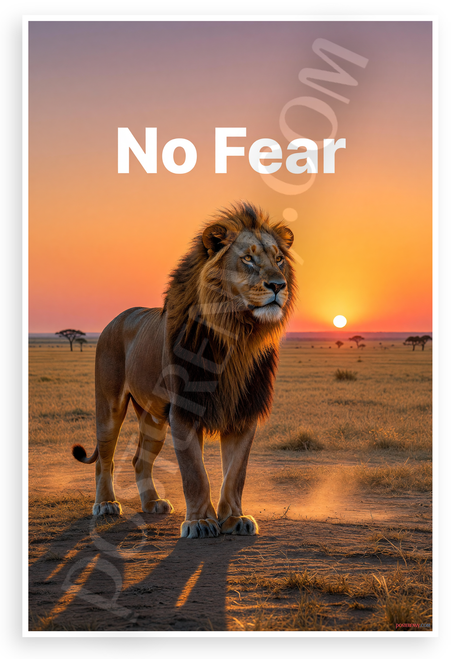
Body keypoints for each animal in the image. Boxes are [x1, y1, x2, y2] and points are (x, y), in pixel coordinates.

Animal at [72, 201, 296, 538]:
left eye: (279, 259)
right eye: (247, 258)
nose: (278, 285)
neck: (236, 334)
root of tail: (117, 318)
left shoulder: (243, 411)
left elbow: (236, 474)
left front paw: (235, 519)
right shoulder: (184, 410)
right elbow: (194, 473)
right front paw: (200, 522)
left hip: (153, 418)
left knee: (139, 459)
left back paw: (152, 503)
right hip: (110, 405)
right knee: (105, 459)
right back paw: (106, 505)